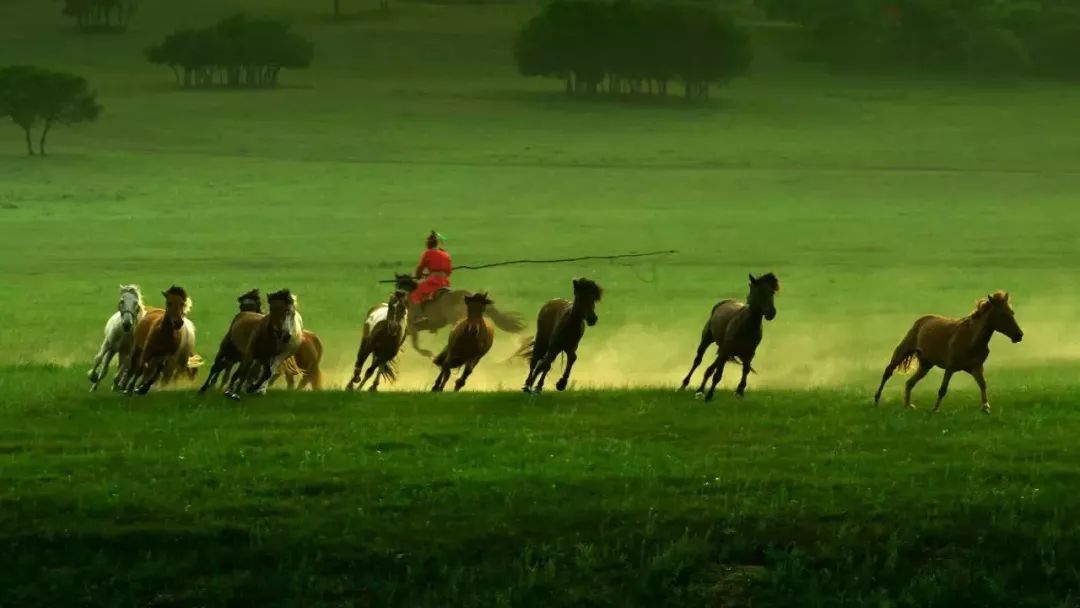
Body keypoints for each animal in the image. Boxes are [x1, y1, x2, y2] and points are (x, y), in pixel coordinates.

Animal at [682, 273, 777, 401]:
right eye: (758, 292)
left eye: (772, 292)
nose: (771, 313)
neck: (746, 326)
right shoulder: (727, 350)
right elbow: (718, 375)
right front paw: (709, 396)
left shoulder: (749, 353)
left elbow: (745, 370)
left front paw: (739, 392)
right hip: (708, 340)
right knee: (698, 360)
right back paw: (685, 385)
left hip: (723, 350)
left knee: (709, 369)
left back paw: (700, 390)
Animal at [872, 291, 1023, 416]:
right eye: (1002, 314)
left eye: (1012, 312)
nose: (1019, 335)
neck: (971, 339)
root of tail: (921, 320)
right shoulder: (950, 368)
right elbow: (942, 389)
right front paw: (935, 409)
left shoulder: (976, 368)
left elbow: (983, 384)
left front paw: (986, 407)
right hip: (903, 351)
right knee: (888, 371)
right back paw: (877, 400)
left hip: (926, 365)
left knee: (909, 383)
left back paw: (908, 405)